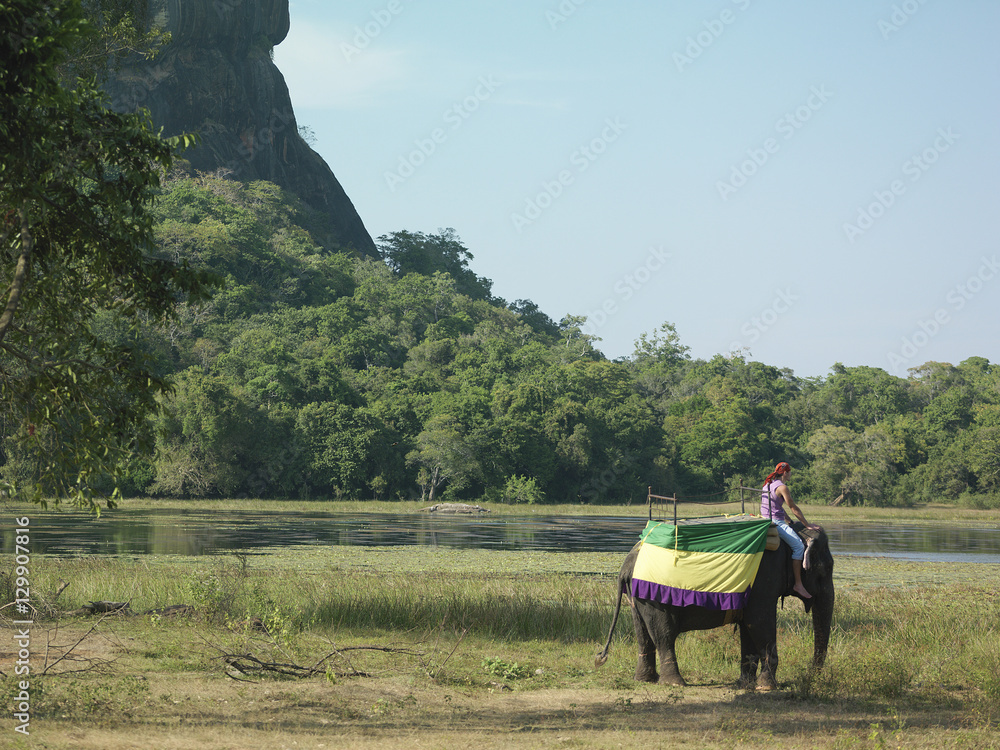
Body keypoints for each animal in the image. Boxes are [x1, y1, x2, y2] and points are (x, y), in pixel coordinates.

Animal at [596, 523, 834, 690]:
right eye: (826, 569)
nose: (811, 676)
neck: (793, 534)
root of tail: (625, 566)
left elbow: (748, 628)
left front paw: (745, 685)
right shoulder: (763, 579)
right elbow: (759, 622)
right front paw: (767, 687)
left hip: (637, 598)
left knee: (643, 634)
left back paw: (645, 680)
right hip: (656, 599)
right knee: (664, 634)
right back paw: (674, 683)